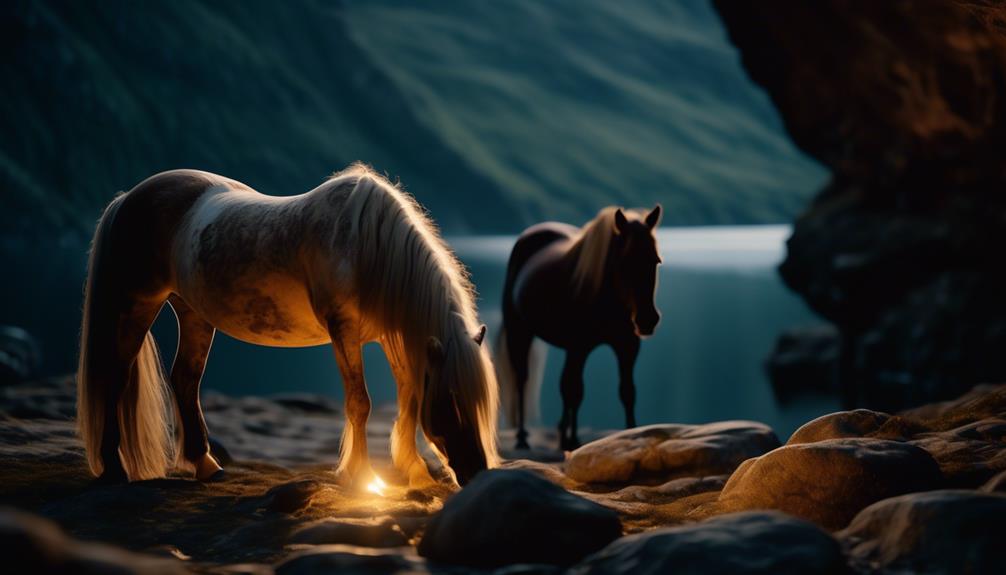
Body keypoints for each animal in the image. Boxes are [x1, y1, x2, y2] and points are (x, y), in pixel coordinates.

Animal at [75, 163, 498, 486]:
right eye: (452, 400)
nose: (477, 473)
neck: (366, 249)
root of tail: (128, 197)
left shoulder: (391, 337)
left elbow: (408, 401)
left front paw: (415, 472)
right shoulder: (343, 332)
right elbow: (359, 402)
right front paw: (360, 476)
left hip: (193, 314)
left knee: (184, 380)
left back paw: (205, 465)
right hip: (136, 305)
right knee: (115, 377)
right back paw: (115, 469)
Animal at [496, 204, 667, 452]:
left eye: (655, 261)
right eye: (624, 262)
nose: (647, 319)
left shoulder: (627, 347)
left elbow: (627, 392)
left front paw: (631, 433)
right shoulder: (580, 347)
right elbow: (575, 391)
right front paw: (573, 440)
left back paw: (560, 431)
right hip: (520, 332)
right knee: (523, 379)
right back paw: (522, 437)